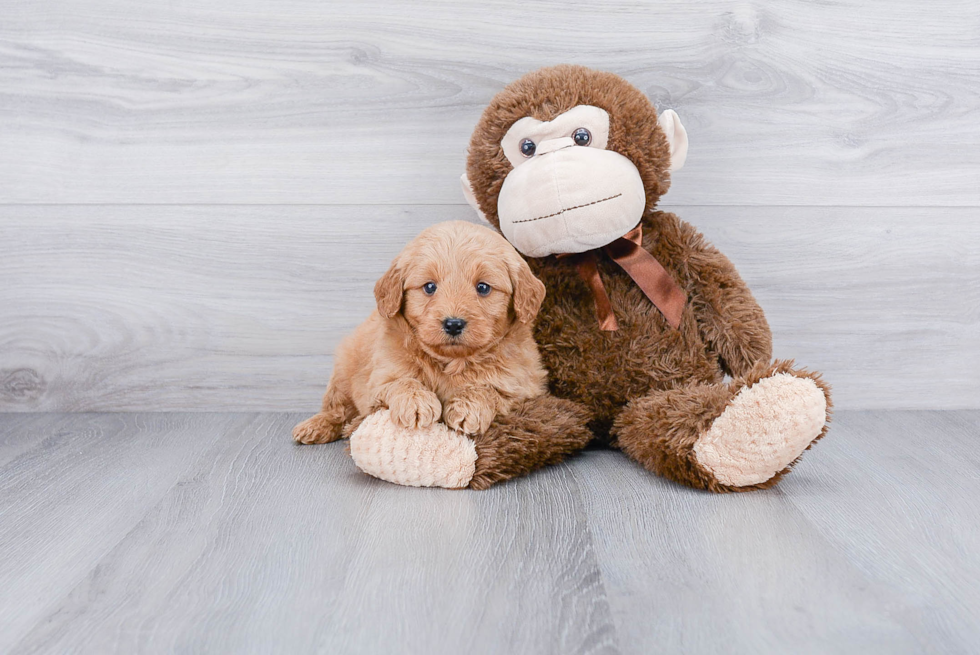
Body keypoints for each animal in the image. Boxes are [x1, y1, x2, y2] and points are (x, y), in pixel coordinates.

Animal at [290, 222, 552, 446]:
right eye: (429, 287)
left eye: (483, 287)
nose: (453, 324)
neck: (450, 362)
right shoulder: (380, 380)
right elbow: (402, 382)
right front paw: (416, 402)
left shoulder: (525, 388)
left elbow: (489, 389)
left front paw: (468, 407)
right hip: (344, 369)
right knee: (337, 408)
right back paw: (316, 426)